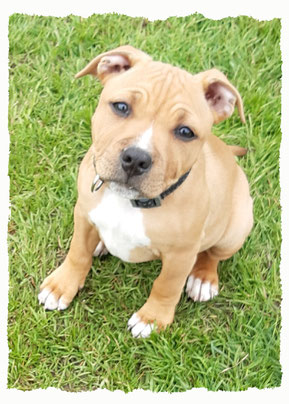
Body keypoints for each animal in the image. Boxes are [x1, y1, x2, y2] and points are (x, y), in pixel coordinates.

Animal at [37, 45, 252, 338]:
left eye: (185, 132)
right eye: (121, 107)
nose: (136, 158)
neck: (130, 202)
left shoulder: (181, 255)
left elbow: (166, 285)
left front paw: (152, 318)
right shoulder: (83, 214)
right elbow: (77, 253)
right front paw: (61, 286)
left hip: (236, 229)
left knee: (213, 255)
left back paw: (203, 278)